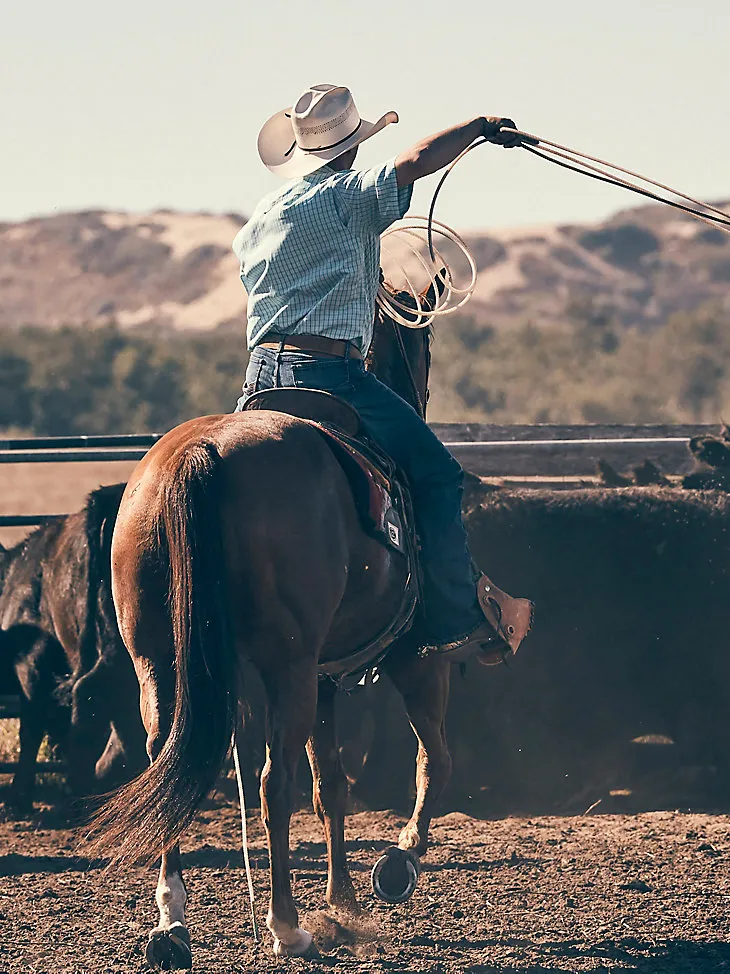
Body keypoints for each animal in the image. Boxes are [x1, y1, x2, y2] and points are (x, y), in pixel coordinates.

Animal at [91, 294, 464, 964]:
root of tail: (201, 453)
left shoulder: (324, 676)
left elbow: (332, 784)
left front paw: (343, 902)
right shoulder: (416, 660)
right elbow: (433, 761)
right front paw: (397, 863)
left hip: (156, 660)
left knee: (167, 762)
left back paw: (172, 923)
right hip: (288, 669)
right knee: (273, 785)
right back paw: (286, 926)